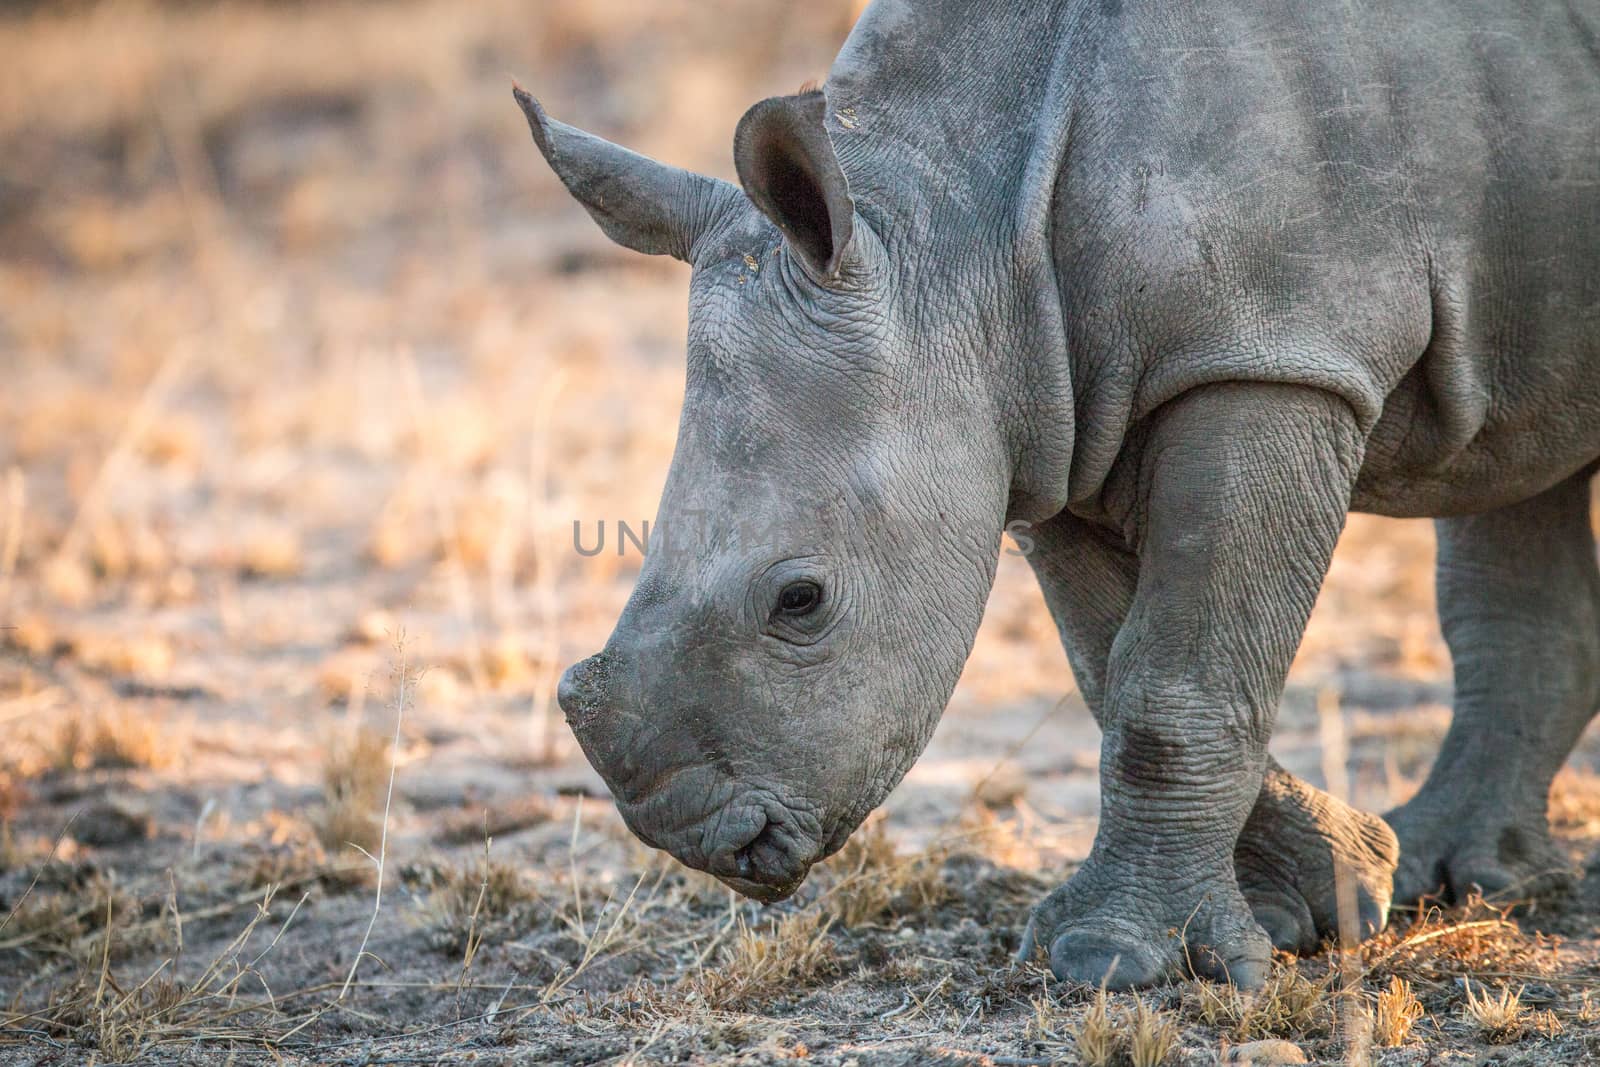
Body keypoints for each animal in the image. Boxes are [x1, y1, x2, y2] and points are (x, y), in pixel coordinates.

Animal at [524, 0, 1600, 991]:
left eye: (801, 600)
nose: (697, 837)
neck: (954, 227)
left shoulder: (1270, 354)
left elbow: (1173, 680)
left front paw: (1111, 962)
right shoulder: (1050, 407)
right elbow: (1110, 664)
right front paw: (1327, 895)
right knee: (1525, 461)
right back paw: (1457, 878)